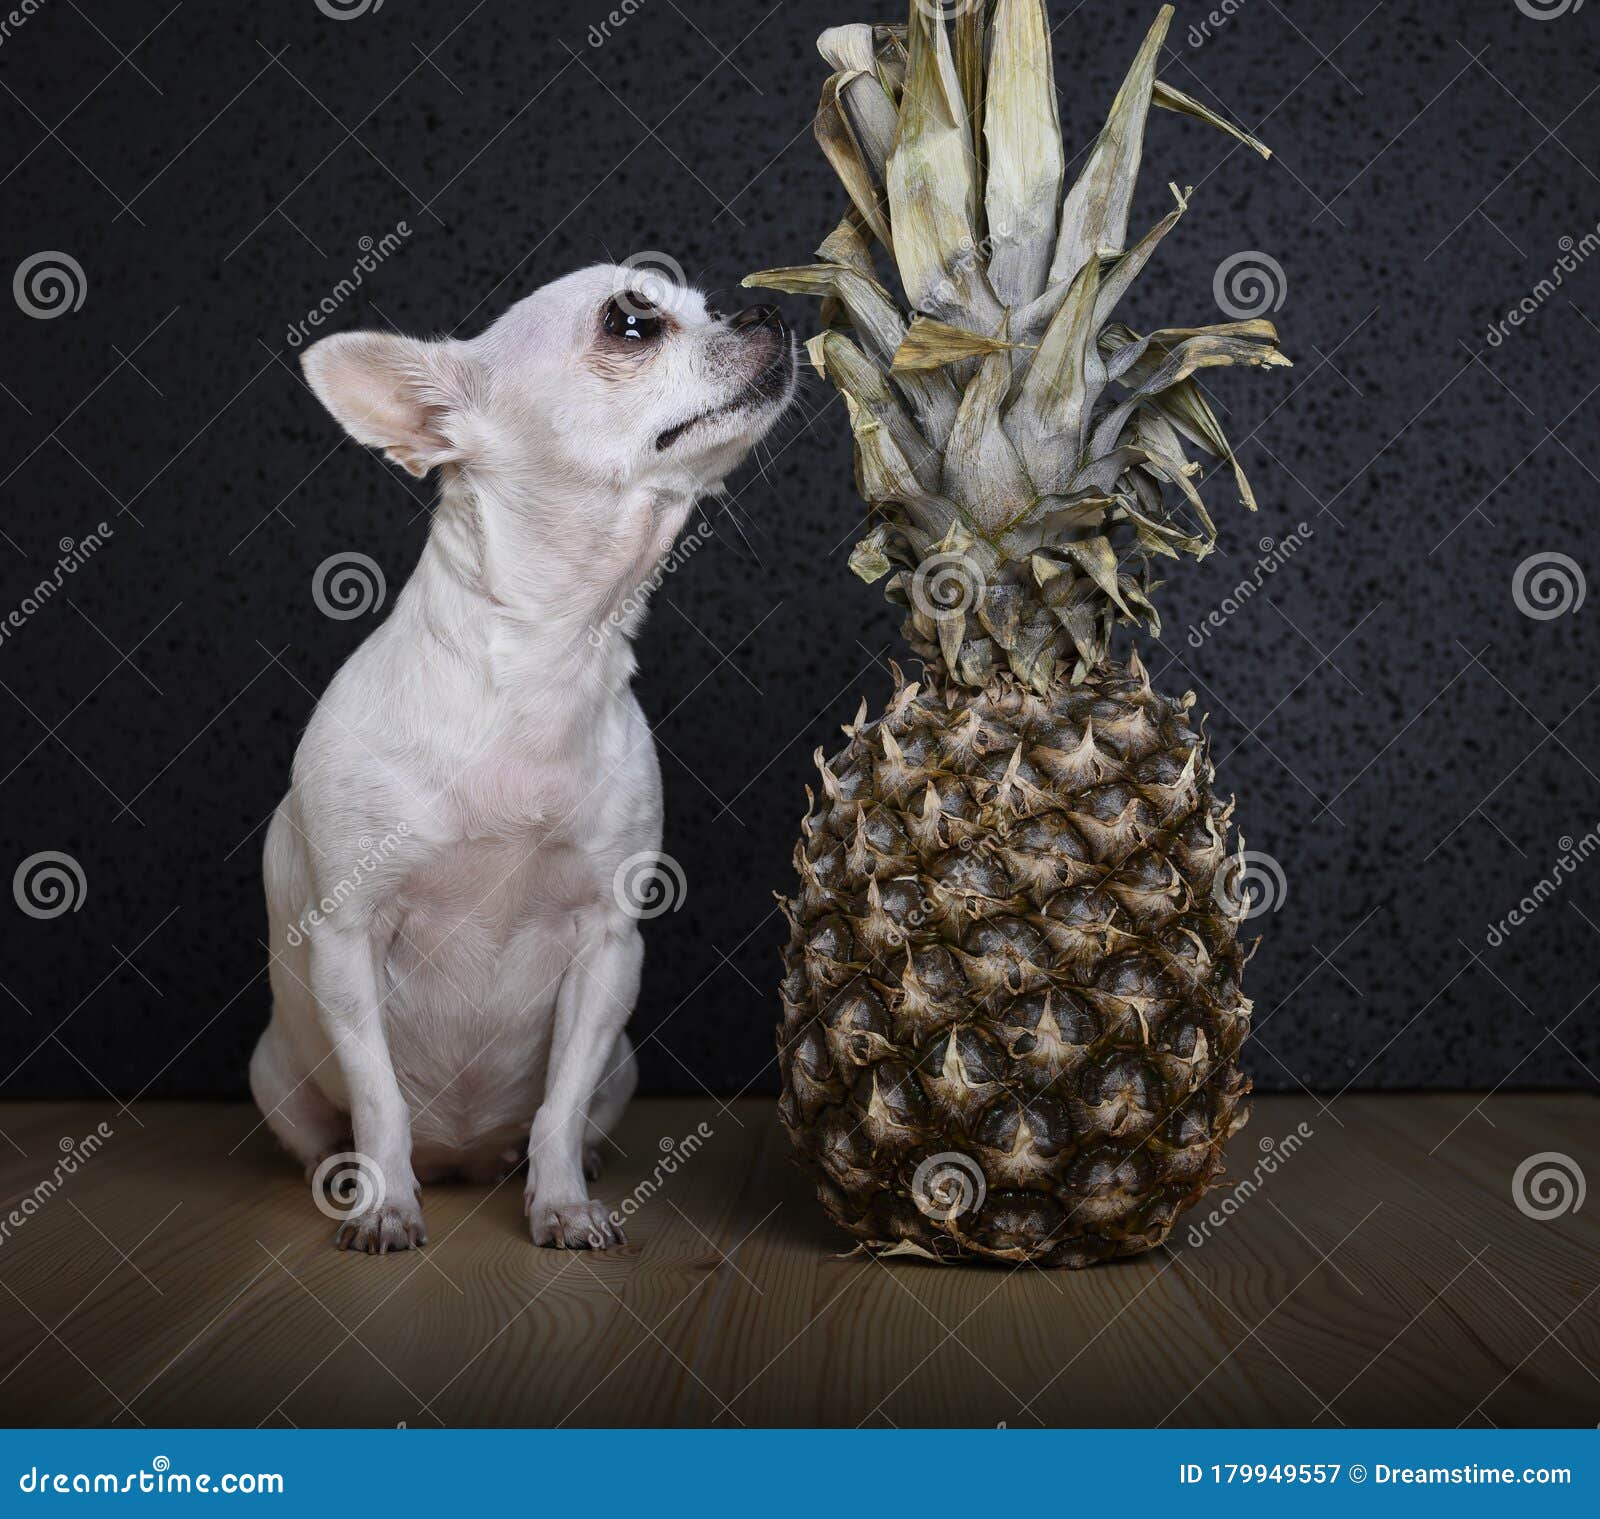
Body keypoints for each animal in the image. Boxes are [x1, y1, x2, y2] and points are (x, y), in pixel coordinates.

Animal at [249, 267, 793, 1248]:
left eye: (704, 303)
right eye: (631, 323)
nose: (765, 308)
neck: (550, 658)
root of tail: (457, 1159)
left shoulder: (608, 951)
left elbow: (559, 1104)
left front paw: (563, 1203)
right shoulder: (348, 943)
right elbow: (378, 1097)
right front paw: (385, 1204)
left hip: (623, 1063)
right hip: (275, 1073)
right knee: (328, 1127)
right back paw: (347, 1176)